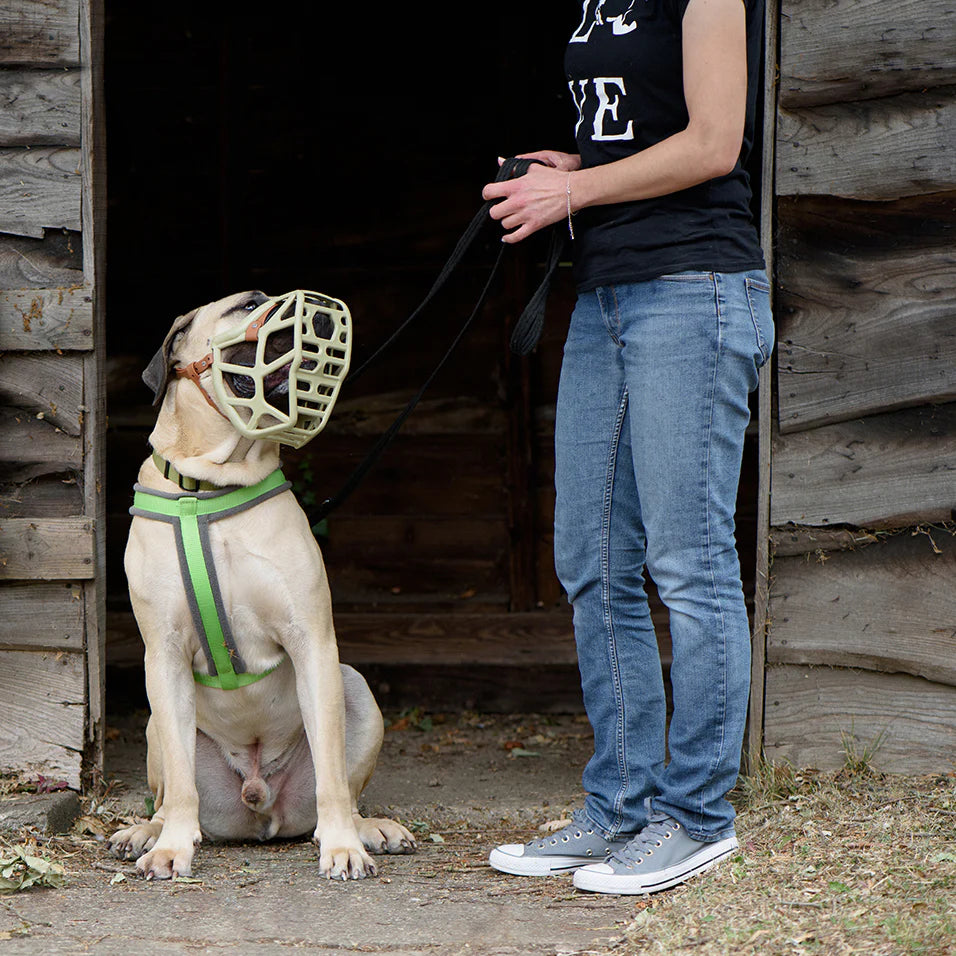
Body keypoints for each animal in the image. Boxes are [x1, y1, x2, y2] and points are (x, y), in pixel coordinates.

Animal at [108, 290, 415, 880]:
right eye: (249, 304)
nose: (322, 317)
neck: (209, 487)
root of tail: (258, 801)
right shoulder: (163, 654)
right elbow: (180, 783)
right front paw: (172, 847)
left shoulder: (312, 640)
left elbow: (332, 778)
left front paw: (342, 846)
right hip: (156, 725)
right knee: (166, 792)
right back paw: (147, 832)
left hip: (356, 688)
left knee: (345, 786)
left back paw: (370, 828)